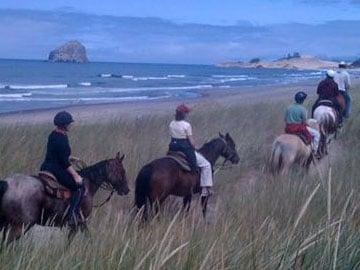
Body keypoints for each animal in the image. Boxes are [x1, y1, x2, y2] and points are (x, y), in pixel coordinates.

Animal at [0, 152, 129, 243]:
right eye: (121, 171)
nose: (127, 190)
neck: (88, 185)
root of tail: (7, 183)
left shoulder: (78, 224)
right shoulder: (78, 223)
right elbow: (81, 240)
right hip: (19, 226)